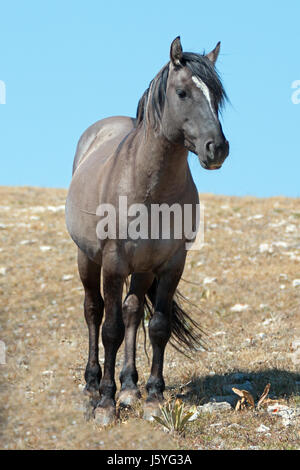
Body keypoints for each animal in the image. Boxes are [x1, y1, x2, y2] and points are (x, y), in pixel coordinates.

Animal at [66, 37, 230, 426]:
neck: (150, 188)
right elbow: (109, 330)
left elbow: (157, 326)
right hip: (88, 260)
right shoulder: (113, 264)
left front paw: (153, 398)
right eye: (183, 92)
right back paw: (92, 388)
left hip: (141, 270)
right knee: (94, 312)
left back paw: (129, 387)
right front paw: (105, 404)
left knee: (132, 310)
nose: (217, 148)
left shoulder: (171, 264)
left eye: (217, 97)